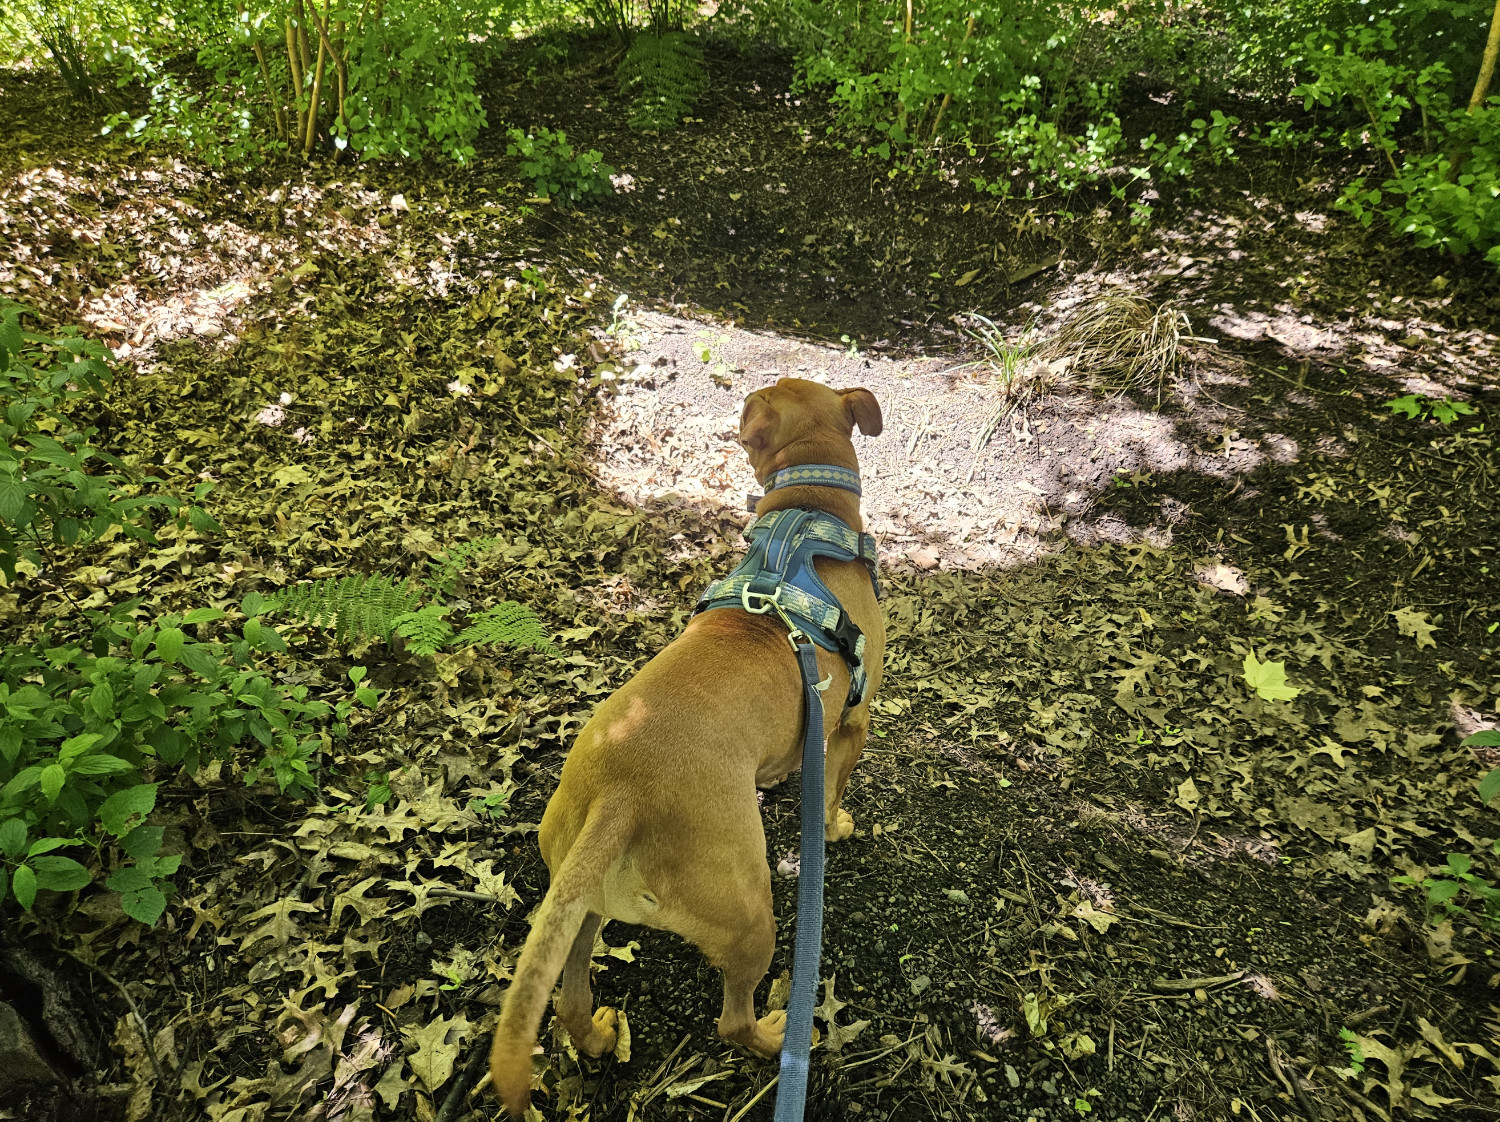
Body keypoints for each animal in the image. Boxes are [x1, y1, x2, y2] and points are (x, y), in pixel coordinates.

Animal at [486, 376, 882, 1116]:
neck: (808, 517)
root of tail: (620, 795)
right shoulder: (850, 722)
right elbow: (833, 789)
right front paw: (837, 824)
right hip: (751, 913)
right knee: (731, 1020)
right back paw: (774, 1037)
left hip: (579, 906)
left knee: (570, 998)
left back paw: (594, 1036)